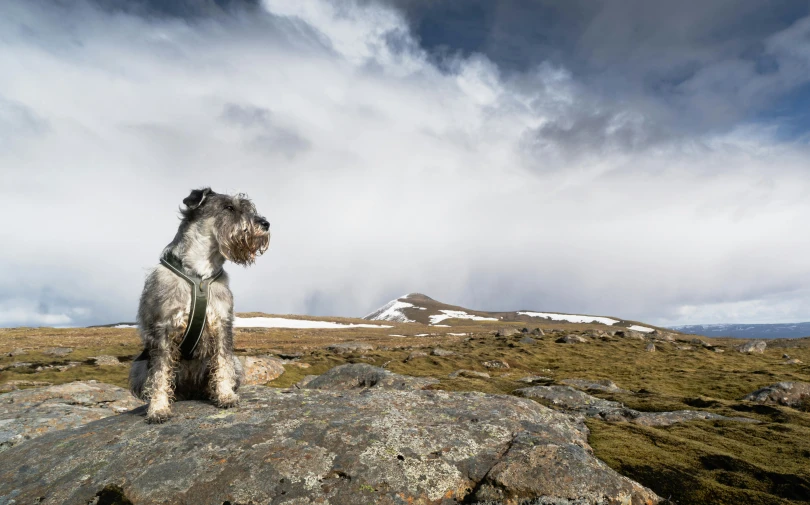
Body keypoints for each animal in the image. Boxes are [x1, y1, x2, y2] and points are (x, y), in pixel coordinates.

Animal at [128, 187, 270, 424]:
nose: (265, 224)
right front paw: (158, 408)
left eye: (249, 208)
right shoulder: (163, 329)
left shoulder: (222, 323)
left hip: (237, 363)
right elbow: (160, 374)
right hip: (138, 367)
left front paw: (225, 395)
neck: (200, 272)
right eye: (228, 207)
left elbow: (222, 363)